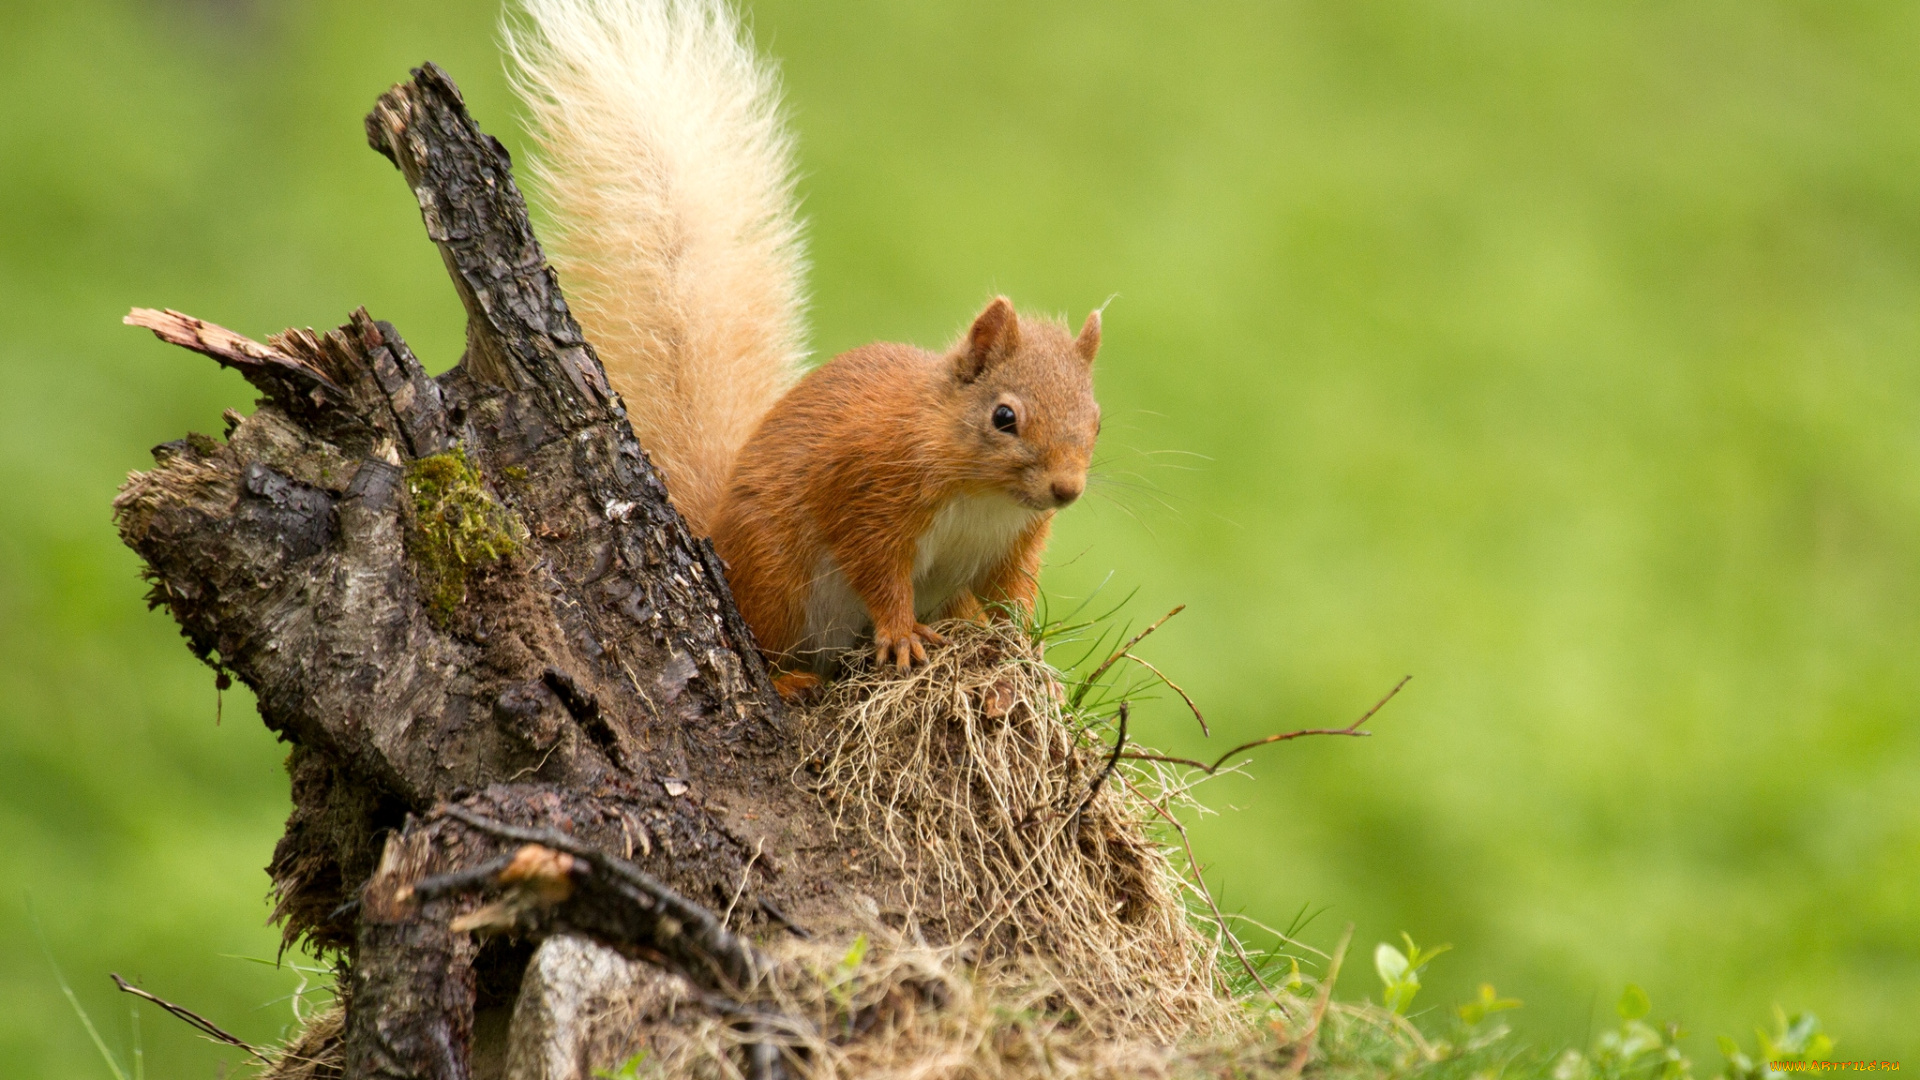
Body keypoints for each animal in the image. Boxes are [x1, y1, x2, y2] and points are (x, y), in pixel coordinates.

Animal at [503, 0, 1105, 684]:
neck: (983, 495)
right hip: (777, 575)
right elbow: (877, 570)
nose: (1066, 490)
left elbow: (1013, 595)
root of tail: (715, 529)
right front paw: (902, 634)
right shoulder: (867, 487)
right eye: (1004, 417)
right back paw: (791, 682)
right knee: (770, 641)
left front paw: (1027, 657)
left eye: (1097, 421)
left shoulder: (1012, 543)